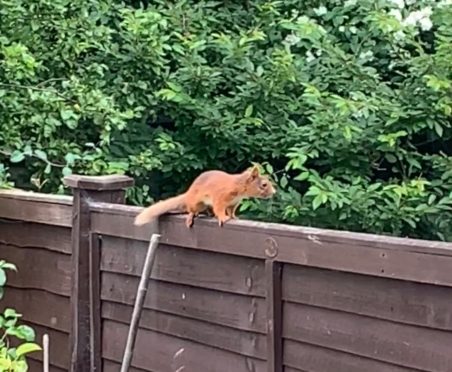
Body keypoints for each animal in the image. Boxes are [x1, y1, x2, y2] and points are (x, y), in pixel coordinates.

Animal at [132, 166, 278, 227]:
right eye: (264, 184)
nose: (274, 192)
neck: (239, 186)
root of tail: (188, 193)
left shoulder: (233, 203)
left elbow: (231, 210)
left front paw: (234, 217)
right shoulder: (221, 197)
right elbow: (219, 208)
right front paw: (223, 218)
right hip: (196, 203)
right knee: (191, 210)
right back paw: (191, 216)